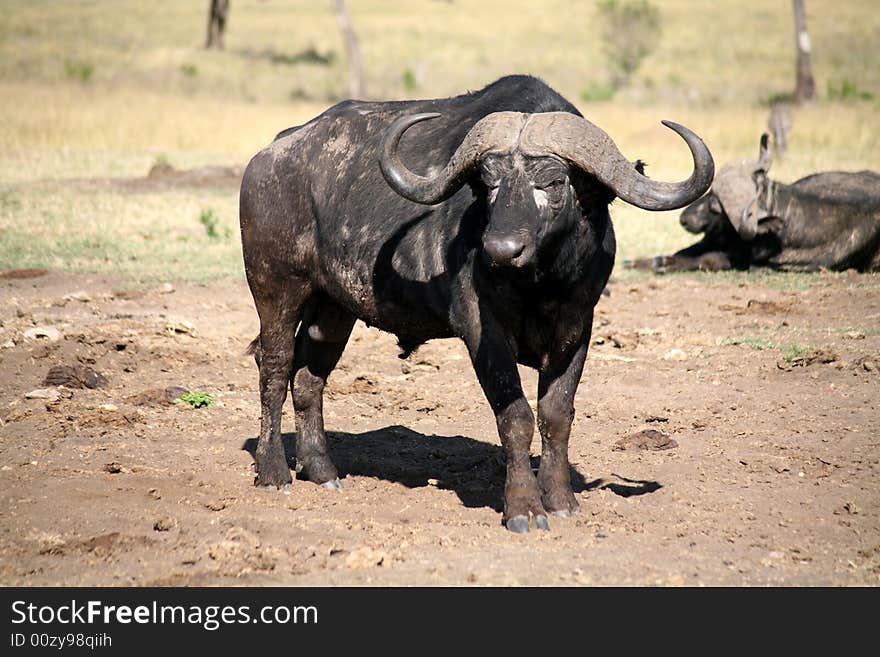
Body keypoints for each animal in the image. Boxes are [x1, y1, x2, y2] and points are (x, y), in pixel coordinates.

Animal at [239, 74, 716, 532]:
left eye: (553, 182)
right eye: (489, 184)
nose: (501, 249)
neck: (542, 286)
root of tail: (268, 156)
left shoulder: (579, 327)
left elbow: (556, 415)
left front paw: (561, 500)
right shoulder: (481, 329)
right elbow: (516, 417)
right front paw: (525, 507)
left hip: (334, 307)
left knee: (309, 375)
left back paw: (322, 470)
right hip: (275, 288)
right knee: (275, 366)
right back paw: (274, 472)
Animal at [624, 135, 880, 272]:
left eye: (716, 206)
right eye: (710, 193)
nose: (685, 219)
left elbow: (704, 260)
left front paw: (664, 265)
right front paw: (641, 262)